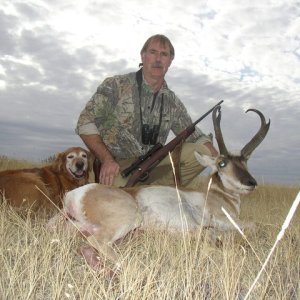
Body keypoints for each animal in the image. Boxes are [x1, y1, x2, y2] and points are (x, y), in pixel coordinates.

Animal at [48, 106, 270, 270]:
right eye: (222, 163)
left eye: (245, 161)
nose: (250, 183)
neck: (217, 194)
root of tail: (76, 194)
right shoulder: (224, 220)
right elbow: (254, 225)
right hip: (129, 220)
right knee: (98, 243)